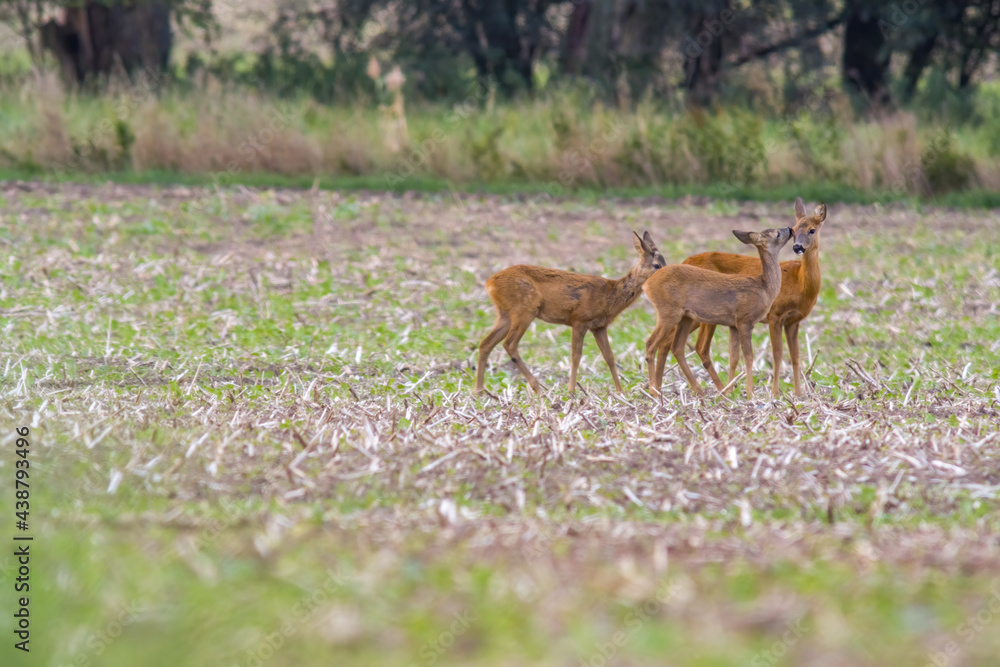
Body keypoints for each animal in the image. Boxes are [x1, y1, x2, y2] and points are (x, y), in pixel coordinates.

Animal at [474, 231, 668, 396]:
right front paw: (571, 391)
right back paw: (537, 387)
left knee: (485, 343)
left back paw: (479, 391)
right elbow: (576, 356)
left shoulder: (599, 326)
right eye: (656, 265)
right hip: (524, 309)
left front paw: (620, 392)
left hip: (505, 313)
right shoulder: (579, 319)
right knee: (510, 344)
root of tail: (490, 283)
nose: (667, 275)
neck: (610, 294)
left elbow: (609, 357)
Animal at [644, 227, 792, 400]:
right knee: (651, 343)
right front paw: (750, 394)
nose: (790, 229)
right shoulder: (745, 320)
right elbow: (748, 357)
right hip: (668, 312)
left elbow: (733, 357)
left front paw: (730, 391)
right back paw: (654, 392)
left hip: (685, 317)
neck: (764, 288)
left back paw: (698, 391)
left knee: (676, 347)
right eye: (777, 233)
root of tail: (647, 284)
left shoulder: (733, 325)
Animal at [680, 197, 828, 396]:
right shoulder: (775, 315)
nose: (797, 247)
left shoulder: (794, 321)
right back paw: (719, 390)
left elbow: (795, 356)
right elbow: (777, 354)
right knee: (700, 347)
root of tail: (684, 261)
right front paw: (774, 394)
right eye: (795, 229)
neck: (800, 283)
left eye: (812, 230)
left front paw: (798, 394)